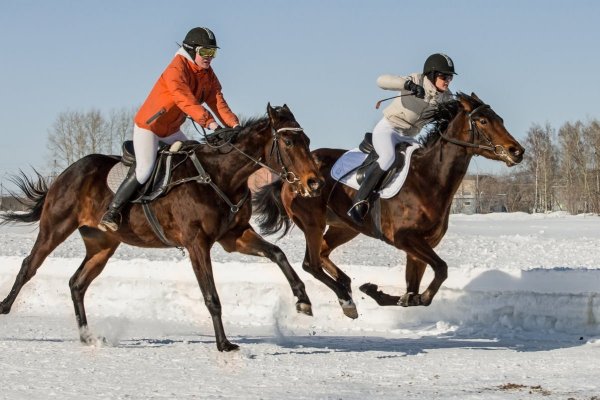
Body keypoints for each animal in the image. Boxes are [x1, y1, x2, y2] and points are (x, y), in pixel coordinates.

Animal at [0, 104, 324, 352]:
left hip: (102, 245)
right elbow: (212, 297)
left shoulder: (235, 236)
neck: (219, 176)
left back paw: (88, 337)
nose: (314, 182)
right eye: (289, 143)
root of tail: (67, 172)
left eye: (308, 140)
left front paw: (303, 301)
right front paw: (224, 344)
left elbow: (278, 253)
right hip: (55, 228)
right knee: (29, 266)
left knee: (77, 284)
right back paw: (4, 308)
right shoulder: (197, 243)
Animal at [253, 93, 524, 318]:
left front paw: (388, 294)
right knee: (311, 263)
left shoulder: (419, 248)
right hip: (313, 223)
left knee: (322, 254)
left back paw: (346, 286)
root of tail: (289, 177)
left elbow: (415, 290)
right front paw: (382, 292)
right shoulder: (405, 238)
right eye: (482, 121)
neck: (429, 179)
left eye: (499, 119)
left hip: (345, 227)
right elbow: (441, 270)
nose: (517, 151)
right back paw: (340, 297)